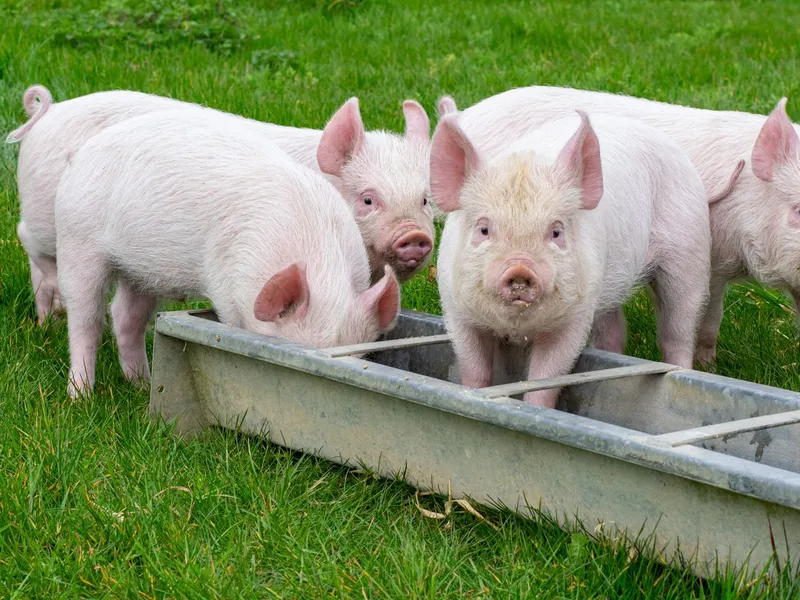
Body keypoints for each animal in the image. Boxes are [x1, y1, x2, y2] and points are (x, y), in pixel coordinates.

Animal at [8, 85, 433, 324]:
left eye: (425, 199)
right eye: (368, 198)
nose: (415, 236)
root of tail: (48, 112)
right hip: (50, 213)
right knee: (27, 239)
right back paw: (50, 316)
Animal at [54, 109, 401, 397]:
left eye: (357, 356)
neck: (321, 260)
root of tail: (79, 156)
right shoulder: (225, 282)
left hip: (141, 271)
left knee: (126, 316)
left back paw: (142, 385)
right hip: (76, 238)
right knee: (85, 318)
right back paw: (81, 396)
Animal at [431, 111, 711, 407]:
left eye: (556, 231)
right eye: (483, 229)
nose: (520, 268)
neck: (518, 327)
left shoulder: (573, 319)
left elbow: (546, 378)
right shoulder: (457, 311)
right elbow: (474, 370)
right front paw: (471, 395)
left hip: (689, 251)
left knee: (678, 328)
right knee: (614, 331)